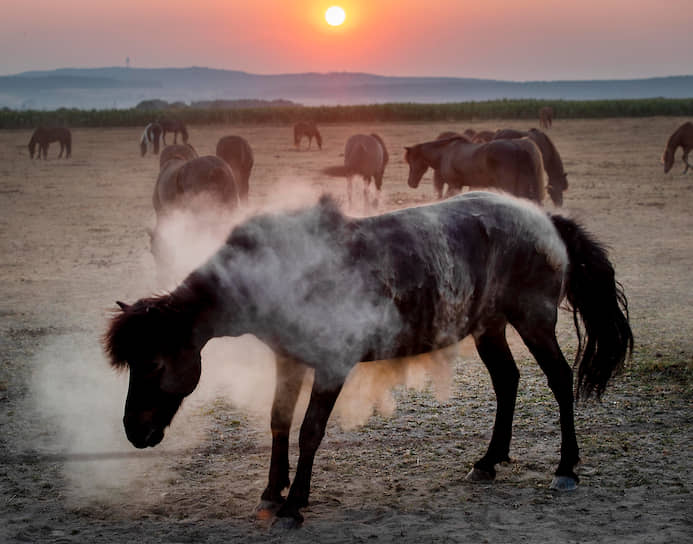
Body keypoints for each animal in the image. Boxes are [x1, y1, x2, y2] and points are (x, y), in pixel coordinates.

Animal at [104, 190, 632, 528]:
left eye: (153, 364)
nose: (134, 431)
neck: (277, 272)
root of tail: (546, 220)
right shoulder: (289, 361)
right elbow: (279, 423)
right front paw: (272, 494)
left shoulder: (331, 367)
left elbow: (310, 432)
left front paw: (294, 505)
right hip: (491, 327)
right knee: (508, 381)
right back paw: (488, 461)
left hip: (534, 321)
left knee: (559, 380)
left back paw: (566, 468)